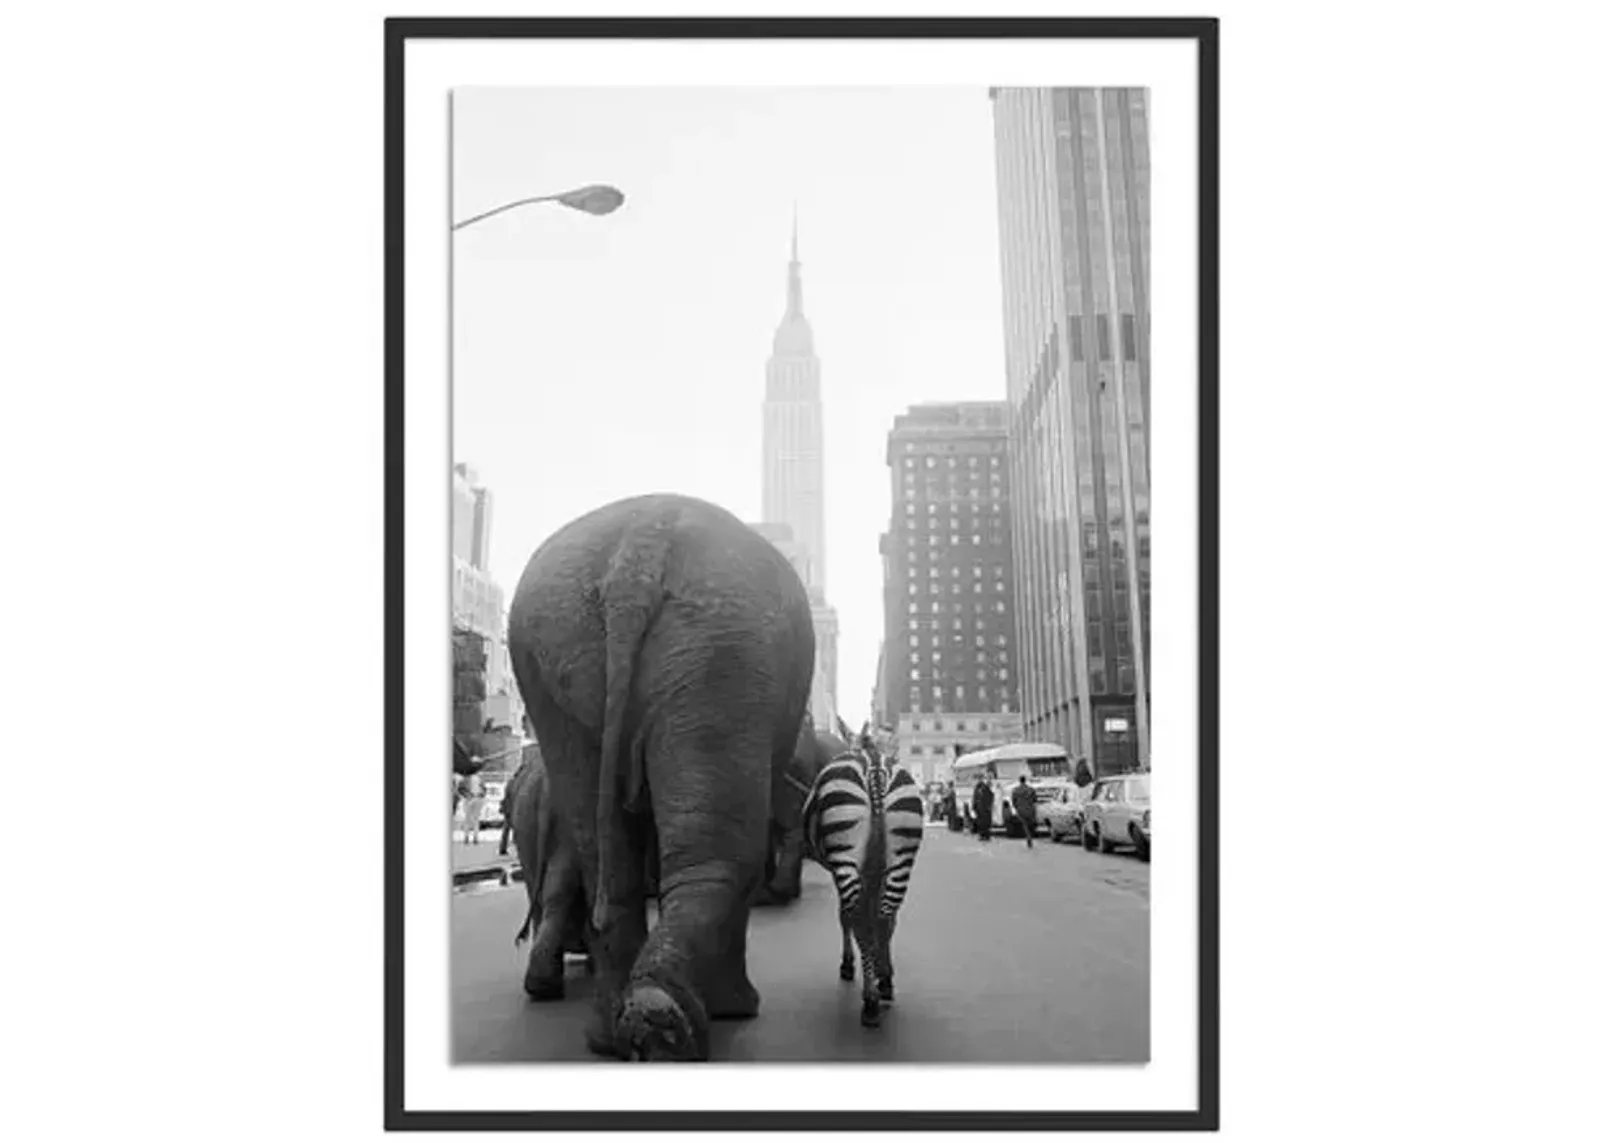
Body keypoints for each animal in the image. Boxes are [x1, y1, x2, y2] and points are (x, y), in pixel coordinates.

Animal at [508, 489, 812, 1056]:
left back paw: (614, 1033)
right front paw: (734, 1010)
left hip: (560, 649)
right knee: (719, 854)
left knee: (600, 853)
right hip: (722, 650)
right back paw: (669, 1022)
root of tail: (640, 544)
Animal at [800, 720, 928, 1024]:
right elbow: (886, 921)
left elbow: (845, 917)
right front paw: (884, 971)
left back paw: (869, 1001)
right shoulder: (875, 872)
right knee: (884, 917)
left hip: (845, 855)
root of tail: (873, 765)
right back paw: (884, 984)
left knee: (858, 918)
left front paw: (848, 965)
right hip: (901, 858)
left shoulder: (842, 871)